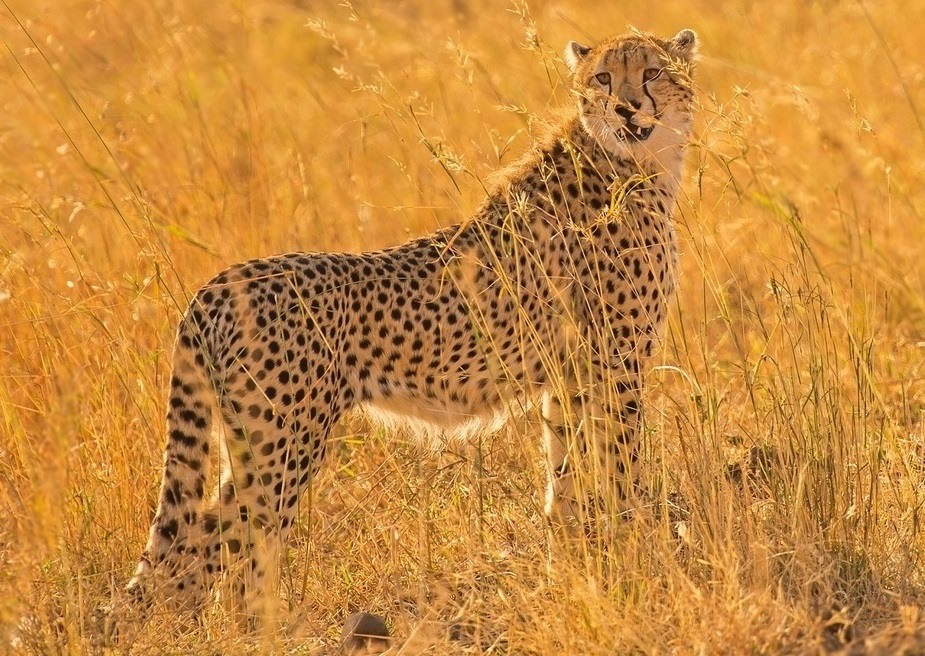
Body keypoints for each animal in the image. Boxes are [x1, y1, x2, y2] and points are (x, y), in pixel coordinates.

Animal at [110, 28, 692, 640]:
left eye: (651, 72)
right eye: (603, 78)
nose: (626, 106)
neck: (634, 161)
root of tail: (219, 283)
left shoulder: (572, 375)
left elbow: (568, 481)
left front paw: (577, 573)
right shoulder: (617, 365)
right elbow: (622, 469)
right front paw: (636, 562)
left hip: (255, 443)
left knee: (213, 553)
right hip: (284, 446)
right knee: (201, 554)